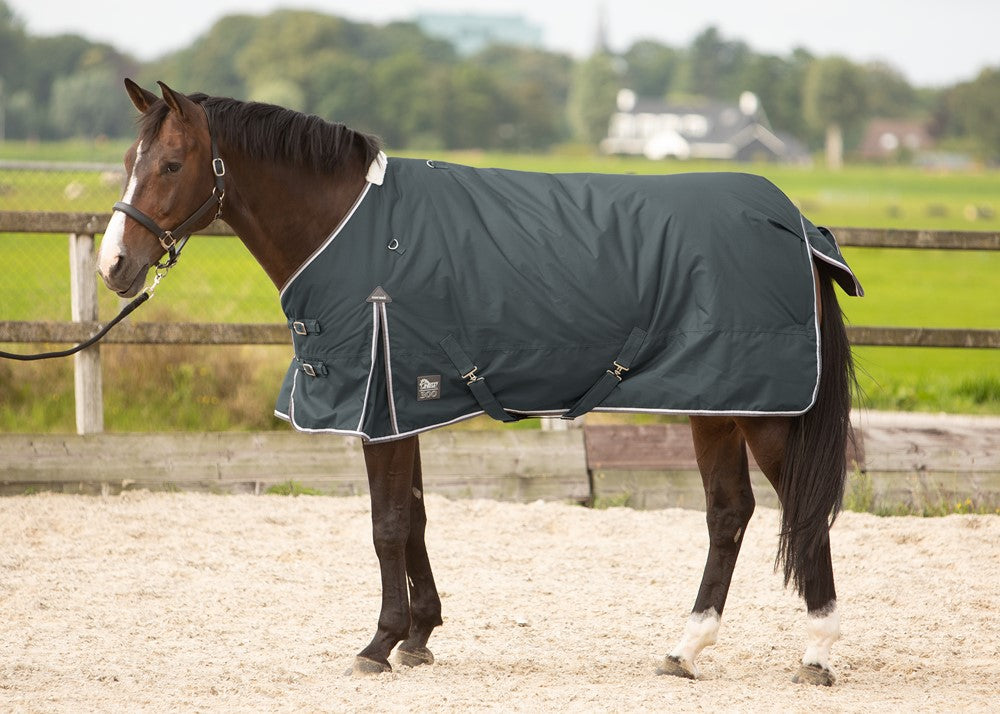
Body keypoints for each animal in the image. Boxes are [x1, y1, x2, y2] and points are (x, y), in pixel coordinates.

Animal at [97, 80, 861, 685]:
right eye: (130, 163)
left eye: (171, 164)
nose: (114, 267)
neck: (353, 229)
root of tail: (794, 223)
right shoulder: (402, 404)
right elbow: (415, 519)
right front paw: (418, 635)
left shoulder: (381, 405)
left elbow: (386, 525)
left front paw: (378, 644)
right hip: (717, 401)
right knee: (729, 512)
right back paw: (685, 648)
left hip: (762, 410)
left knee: (799, 509)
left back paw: (818, 653)